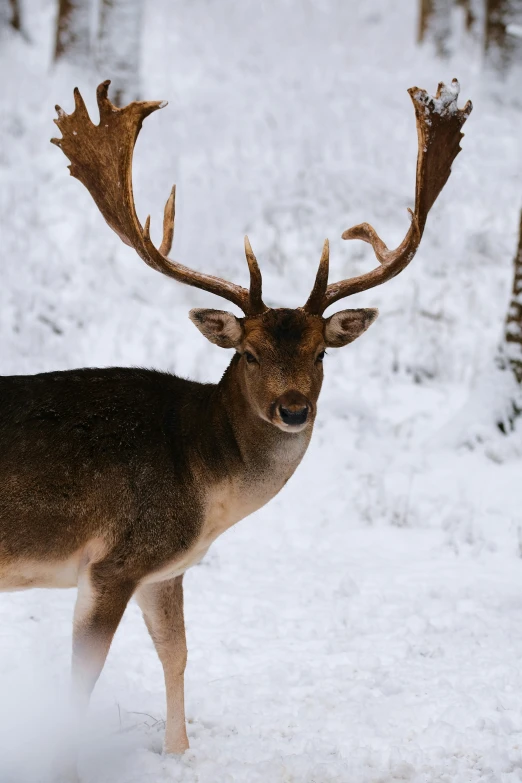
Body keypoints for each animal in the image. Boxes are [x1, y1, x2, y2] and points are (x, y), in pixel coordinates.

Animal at [0, 81, 472, 764]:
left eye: (321, 352)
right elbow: (82, 681)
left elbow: (177, 655)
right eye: (248, 353)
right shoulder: (113, 559)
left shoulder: (165, 568)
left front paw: (178, 753)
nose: (294, 408)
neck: (203, 486)